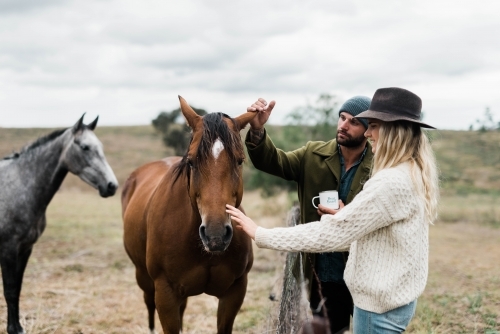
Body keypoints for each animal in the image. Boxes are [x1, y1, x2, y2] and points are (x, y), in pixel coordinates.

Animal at [0, 115, 118, 334]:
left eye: (101, 147)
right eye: (85, 147)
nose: (111, 186)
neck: (18, 186)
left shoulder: (25, 248)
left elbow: (18, 288)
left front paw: (18, 327)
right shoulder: (8, 249)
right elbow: (10, 289)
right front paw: (13, 328)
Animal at [120, 96, 254, 334]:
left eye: (239, 161)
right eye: (191, 161)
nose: (215, 235)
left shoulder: (235, 292)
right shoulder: (165, 294)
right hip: (144, 279)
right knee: (149, 306)